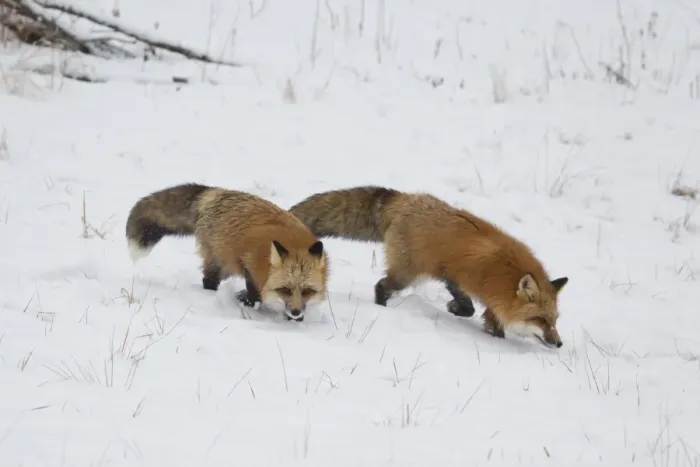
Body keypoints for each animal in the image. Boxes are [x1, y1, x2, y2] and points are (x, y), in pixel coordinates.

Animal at [125, 183, 329, 322]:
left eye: (308, 291)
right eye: (285, 289)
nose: (296, 312)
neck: (293, 242)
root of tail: (216, 192)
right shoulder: (248, 263)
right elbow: (254, 293)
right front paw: (246, 301)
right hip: (220, 262)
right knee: (208, 280)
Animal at [289, 186, 569, 347]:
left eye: (555, 320)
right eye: (540, 319)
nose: (558, 343)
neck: (507, 271)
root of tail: (404, 199)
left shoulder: (452, 274)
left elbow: (468, 306)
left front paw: (455, 308)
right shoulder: (472, 283)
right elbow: (489, 321)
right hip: (406, 273)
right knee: (381, 285)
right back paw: (381, 308)